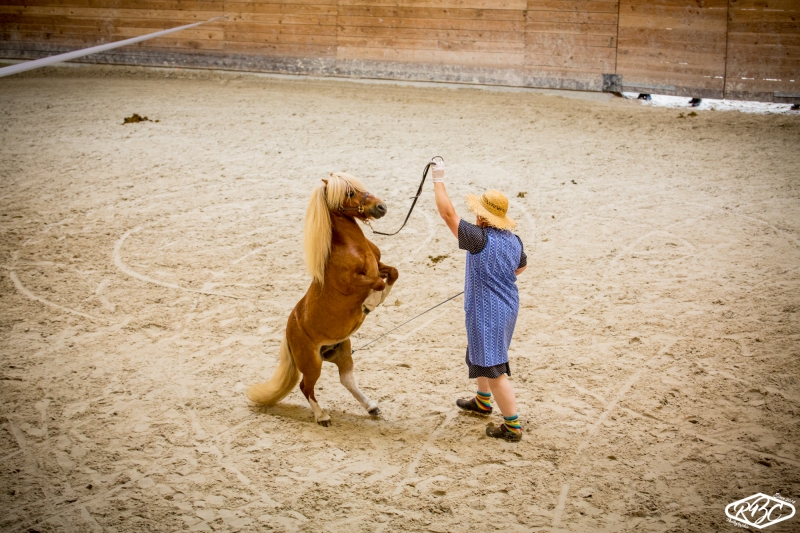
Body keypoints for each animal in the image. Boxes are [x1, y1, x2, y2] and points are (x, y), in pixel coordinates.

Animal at [248, 172, 398, 426]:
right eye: (349, 192)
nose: (381, 207)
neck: (352, 248)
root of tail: (289, 333)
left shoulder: (379, 265)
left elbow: (393, 273)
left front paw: (374, 301)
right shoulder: (354, 283)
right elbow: (377, 283)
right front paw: (369, 304)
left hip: (342, 351)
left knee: (346, 380)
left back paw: (371, 407)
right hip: (312, 365)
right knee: (305, 387)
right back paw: (322, 416)